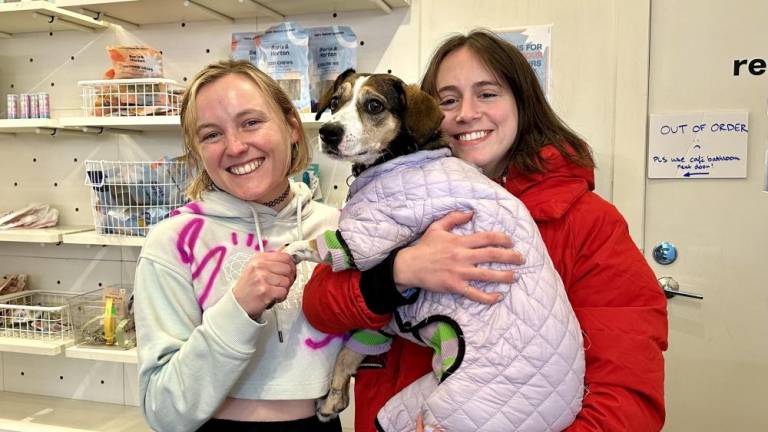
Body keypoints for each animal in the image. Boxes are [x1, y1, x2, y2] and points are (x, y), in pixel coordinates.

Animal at [284, 69, 584, 430]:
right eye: (335, 102)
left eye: (374, 105)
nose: (328, 132)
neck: (403, 155)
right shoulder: (380, 321)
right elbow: (348, 353)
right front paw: (333, 400)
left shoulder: (372, 232)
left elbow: (328, 244)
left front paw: (294, 247)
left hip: (458, 404)